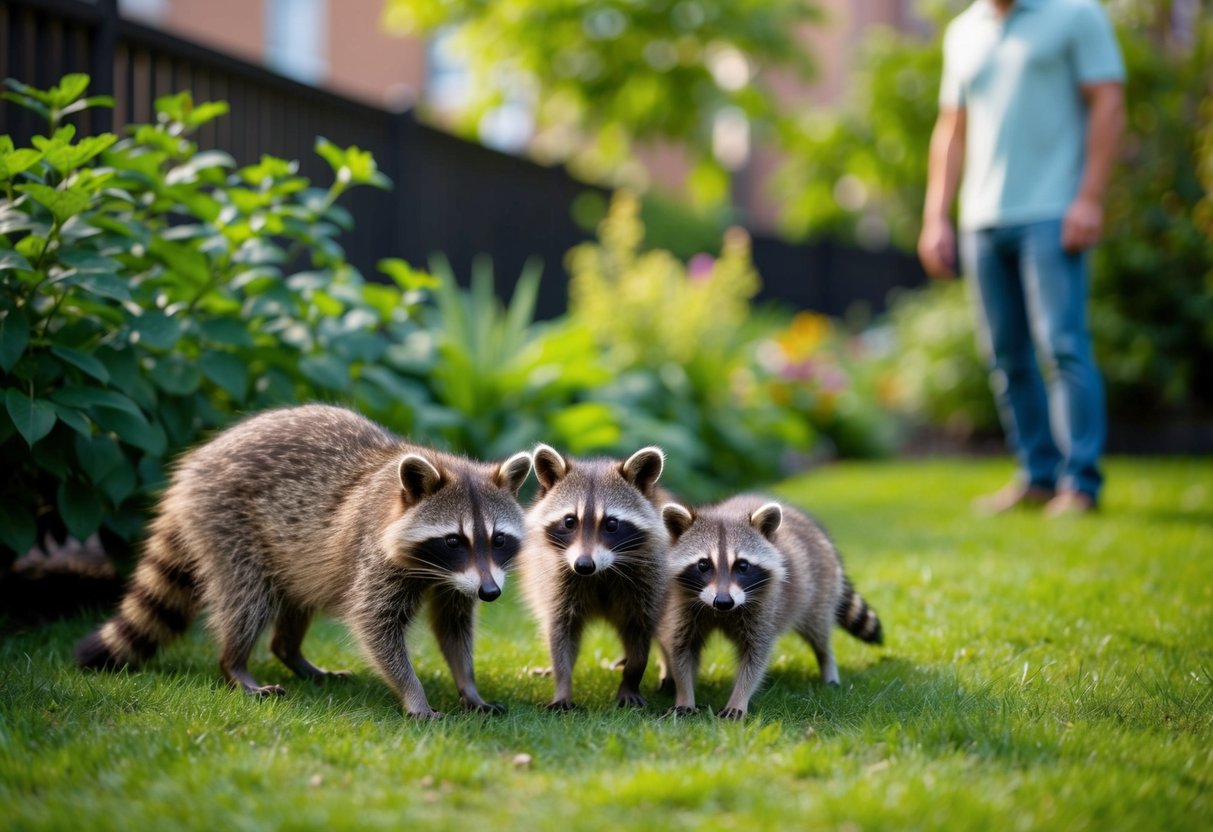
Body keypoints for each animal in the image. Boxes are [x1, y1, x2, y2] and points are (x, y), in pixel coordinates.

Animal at [74, 404, 532, 718]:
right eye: (454, 540)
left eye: (498, 539)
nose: (491, 593)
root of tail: (191, 471)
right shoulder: (374, 555)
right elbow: (375, 625)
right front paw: (413, 694)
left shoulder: (460, 579)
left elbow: (453, 626)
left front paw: (468, 686)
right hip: (227, 521)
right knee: (248, 599)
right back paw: (235, 664)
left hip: (291, 553)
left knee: (295, 598)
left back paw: (290, 652)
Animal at [518, 444, 670, 710]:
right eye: (569, 521)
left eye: (612, 524)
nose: (583, 565)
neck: (602, 572)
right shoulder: (557, 581)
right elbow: (560, 632)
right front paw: (562, 685)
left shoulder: (649, 582)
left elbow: (641, 633)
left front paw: (631, 679)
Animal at [657, 495, 882, 719]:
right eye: (703, 565)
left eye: (742, 565)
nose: (723, 602)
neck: (720, 612)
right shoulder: (682, 606)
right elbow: (682, 650)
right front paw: (684, 695)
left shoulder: (765, 608)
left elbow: (755, 657)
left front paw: (739, 698)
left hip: (820, 593)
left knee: (819, 633)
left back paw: (827, 663)